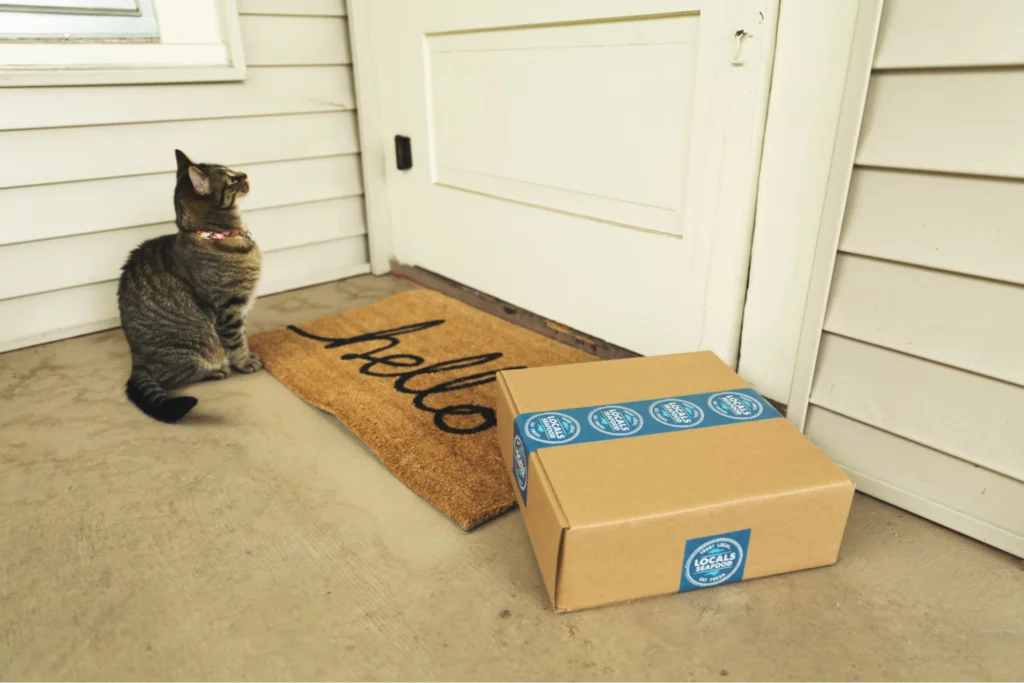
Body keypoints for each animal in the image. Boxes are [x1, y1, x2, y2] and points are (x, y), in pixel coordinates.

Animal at [117, 149, 262, 421]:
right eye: (231, 179)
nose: (245, 173)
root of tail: (137, 361)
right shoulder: (229, 308)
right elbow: (237, 341)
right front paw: (246, 362)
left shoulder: (240, 307)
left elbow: (244, 335)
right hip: (196, 345)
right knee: (173, 377)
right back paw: (216, 371)